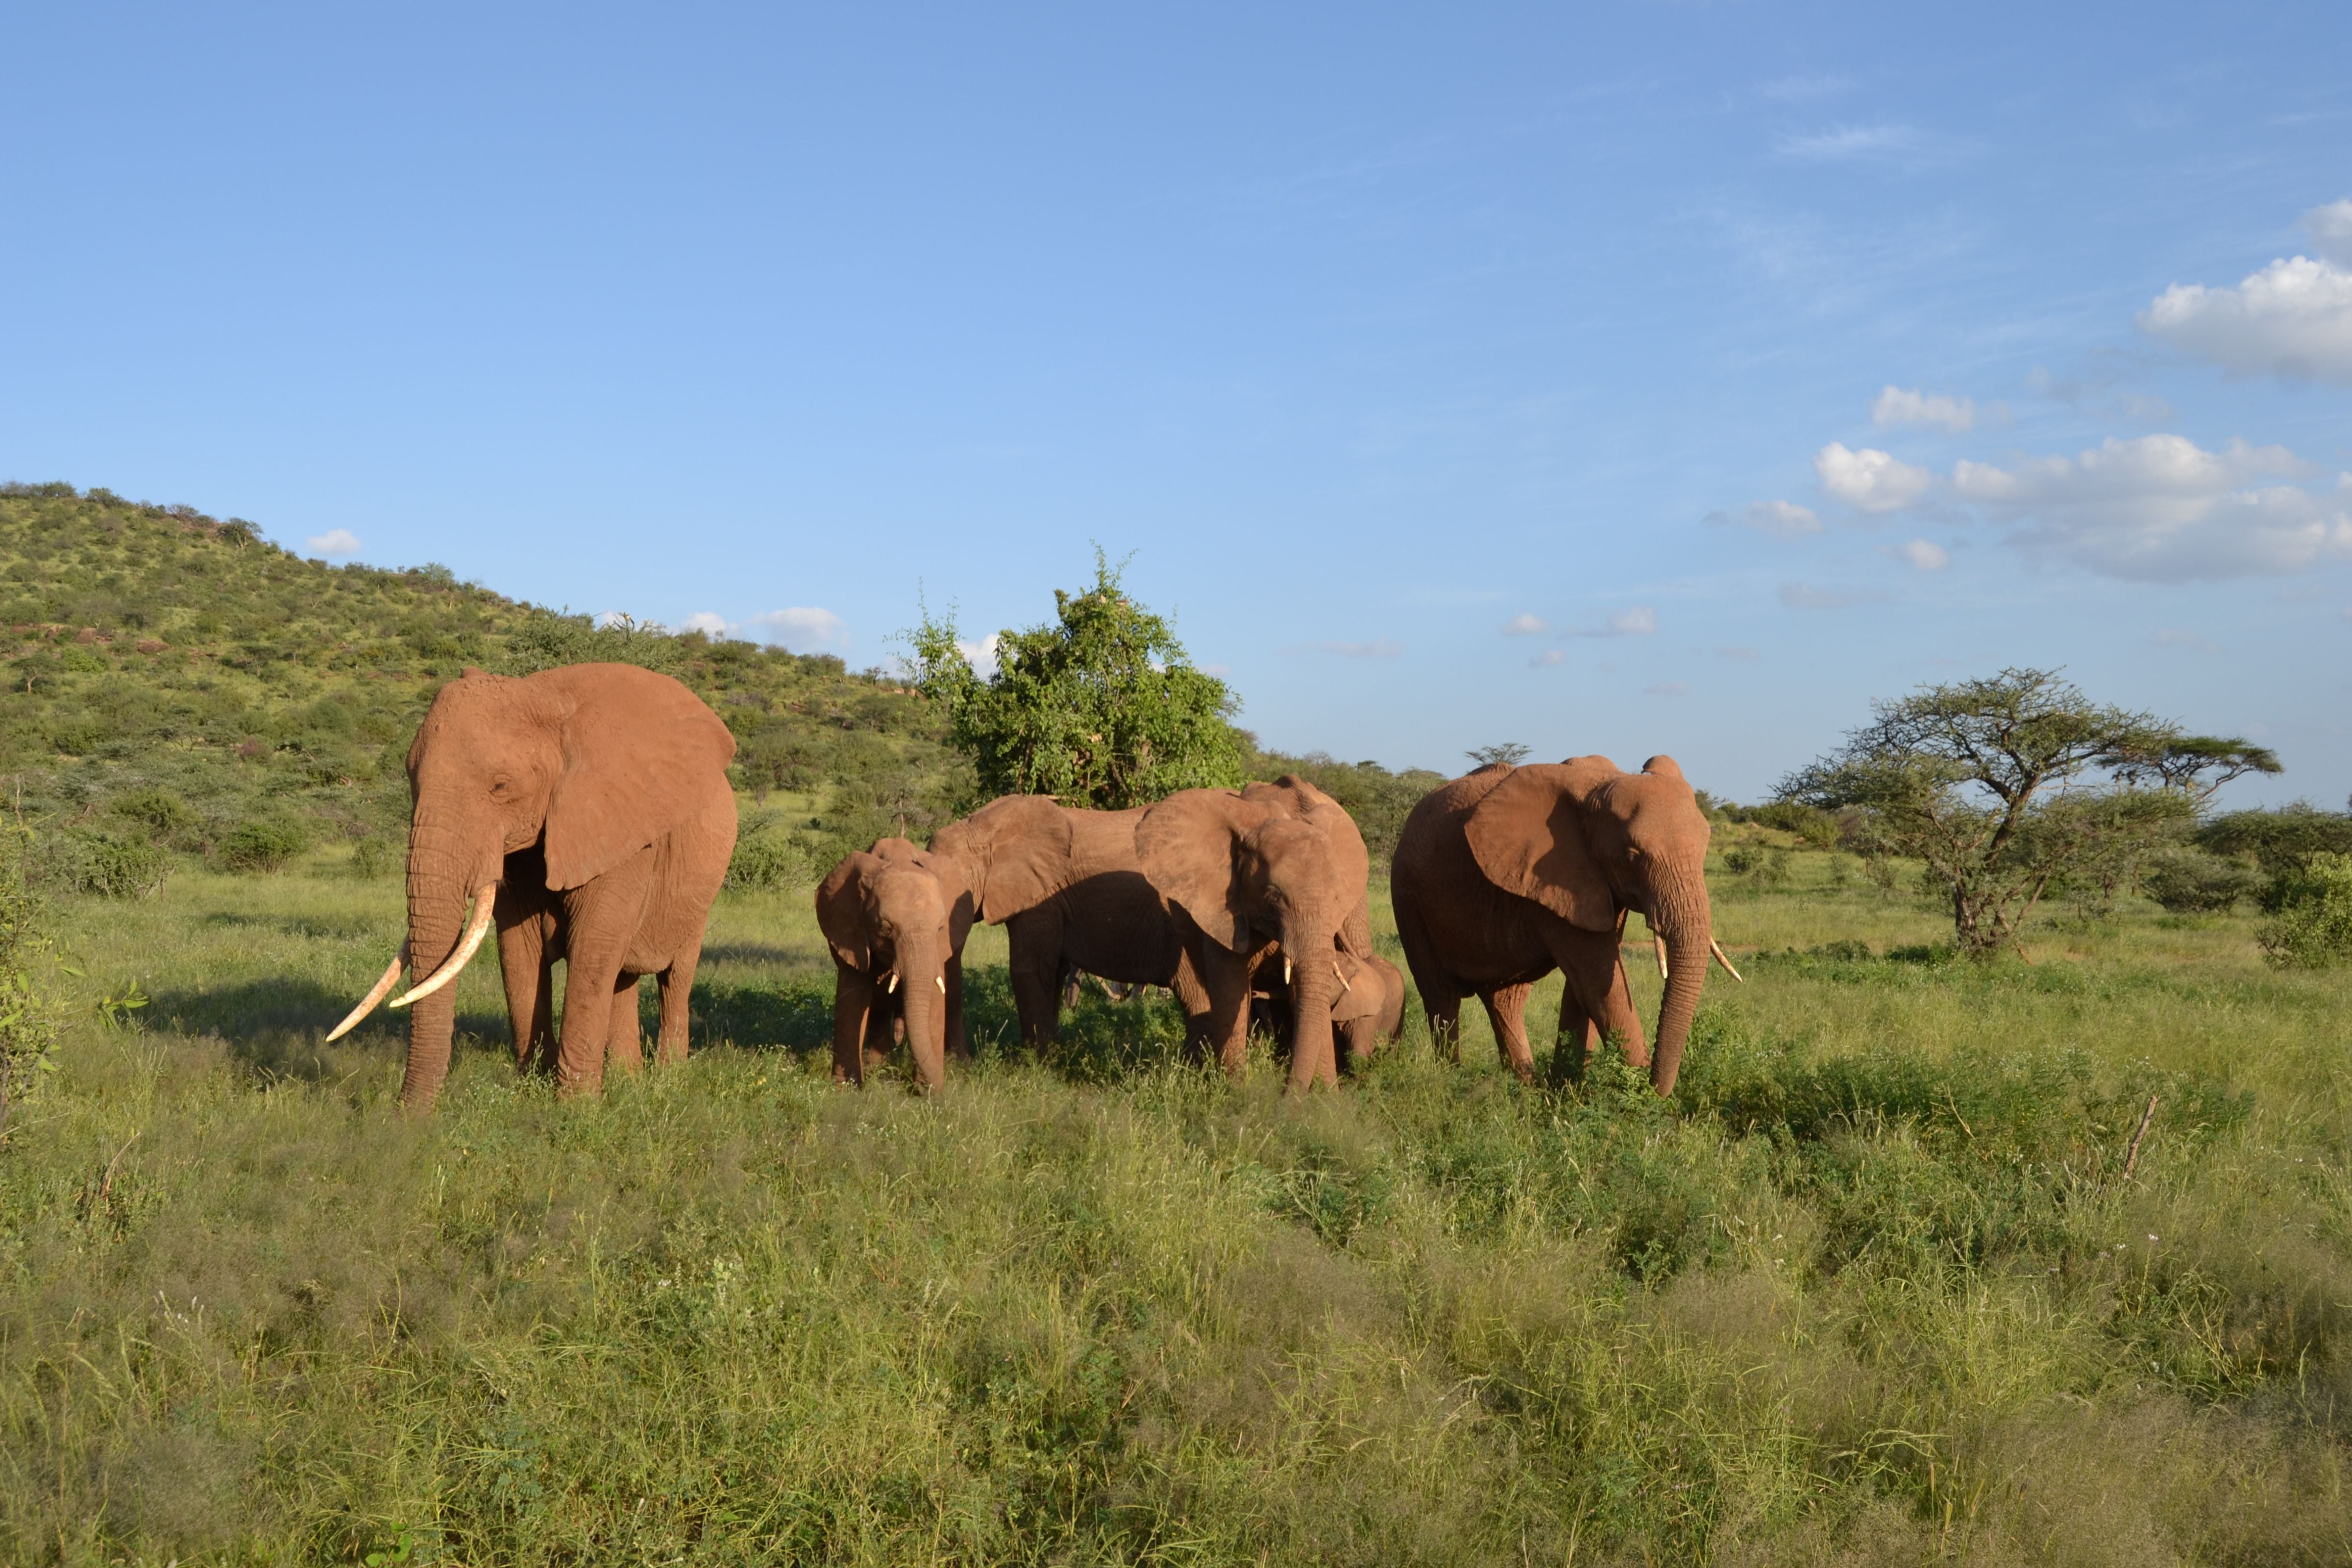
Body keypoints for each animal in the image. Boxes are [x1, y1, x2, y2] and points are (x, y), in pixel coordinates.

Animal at [327, 658, 733, 1109]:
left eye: (501, 786)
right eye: (411, 779)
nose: (406, 1116)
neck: (545, 697)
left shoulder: (622, 830)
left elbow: (592, 950)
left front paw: (577, 1110)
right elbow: (519, 951)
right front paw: (530, 1093)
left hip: (701, 894)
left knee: (674, 977)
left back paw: (667, 1078)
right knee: (623, 979)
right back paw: (629, 1081)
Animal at [818, 832, 973, 1091]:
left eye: (940, 928)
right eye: (886, 929)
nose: (943, 1090)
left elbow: (935, 1000)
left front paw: (927, 1091)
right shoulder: (852, 933)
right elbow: (852, 1000)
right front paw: (845, 1089)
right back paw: (876, 1069)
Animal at [922, 804, 1204, 1048]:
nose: (961, 1062)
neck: (982, 826)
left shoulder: (1041, 896)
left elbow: (1029, 969)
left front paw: (1034, 1061)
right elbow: (1055, 972)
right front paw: (1054, 1052)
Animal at [1129, 775, 1374, 1091]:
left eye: (1336, 899)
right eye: (1273, 896)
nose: (1284, 1093)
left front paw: (1326, 1096)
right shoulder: (1222, 903)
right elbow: (1231, 986)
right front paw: (1236, 1091)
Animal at [1383, 757, 1740, 1100]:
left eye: (1705, 848)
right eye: (1631, 856)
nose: (1656, 1083)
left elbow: (1585, 985)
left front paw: (1567, 1088)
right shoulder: (1555, 878)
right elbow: (1597, 981)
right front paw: (1638, 1099)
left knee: (1506, 1000)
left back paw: (1524, 1085)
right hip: (1408, 897)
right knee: (1441, 996)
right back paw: (1452, 1081)